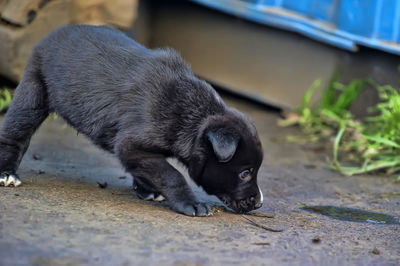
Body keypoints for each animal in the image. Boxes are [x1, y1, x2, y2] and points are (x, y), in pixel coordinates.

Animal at [0, 25, 264, 216]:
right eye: (245, 173)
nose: (260, 203)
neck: (192, 113)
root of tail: (53, 34)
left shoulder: (138, 151)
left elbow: (149, 169)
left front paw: (146, 189)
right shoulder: (131, 145)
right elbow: (172, 174)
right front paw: (190, 203)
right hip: (33, 91)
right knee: (15, 135)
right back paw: (7, 174)